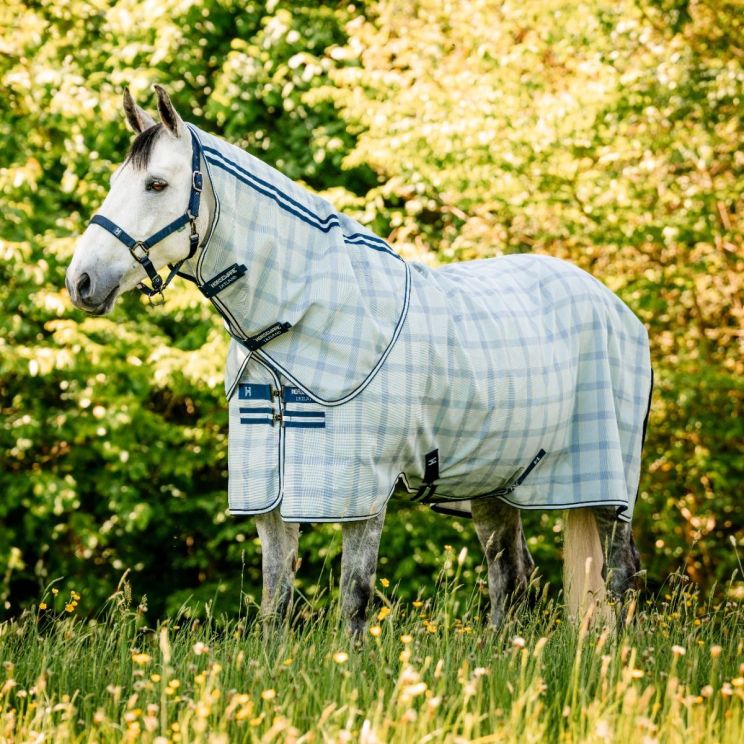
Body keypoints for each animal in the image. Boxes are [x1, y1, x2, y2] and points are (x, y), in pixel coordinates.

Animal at [66, 86, 652, 633]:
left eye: (156, 184)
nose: (82, 282)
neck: (300, 321)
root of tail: (618, 309)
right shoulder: (270, 495)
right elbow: (275, 602)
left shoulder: (361, 492)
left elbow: (354, 598)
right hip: (497, 484)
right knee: (511, 576)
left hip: (609, 488)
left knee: (619, 576)